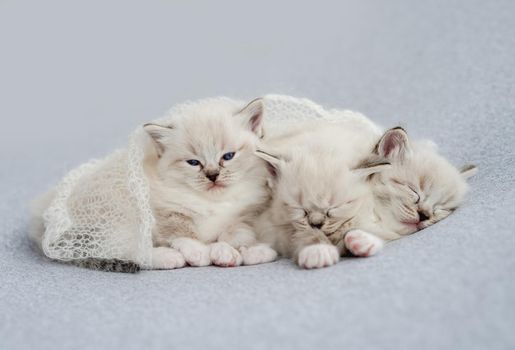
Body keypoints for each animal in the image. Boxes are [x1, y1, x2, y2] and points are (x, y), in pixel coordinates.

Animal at [143, 100, 280, 270]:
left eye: (228, 156)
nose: (213, 175)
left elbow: (236, 232)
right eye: (193, 162)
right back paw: (170, 257)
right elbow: (182, 232)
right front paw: (200, 253)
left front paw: (236, 251)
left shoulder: (248, 212)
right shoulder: (164, 209)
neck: (212, 203)